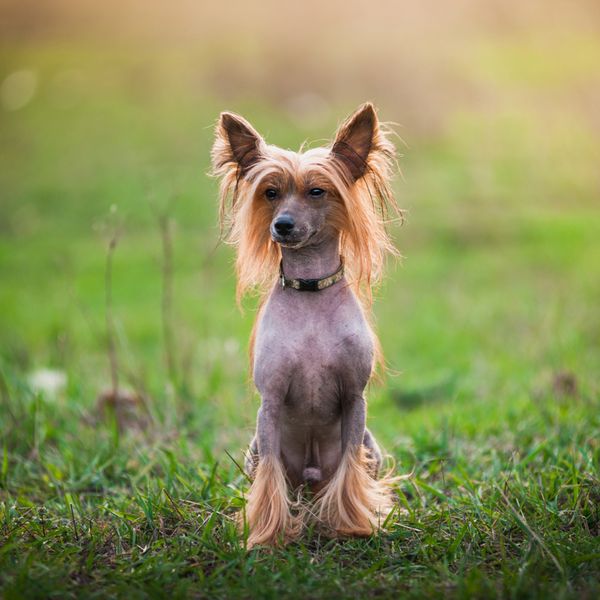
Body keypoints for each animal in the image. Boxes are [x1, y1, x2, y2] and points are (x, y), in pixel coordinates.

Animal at [213, 103, 400, 548]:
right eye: (270, 192)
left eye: (317, 192)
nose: (281, 224)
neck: (311, 292)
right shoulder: (270, 405)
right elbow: (269, 481)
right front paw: (266, 536)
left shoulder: (354, 401)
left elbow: (349, 470)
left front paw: (352, 525)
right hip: (255, 449)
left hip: (372, 447)